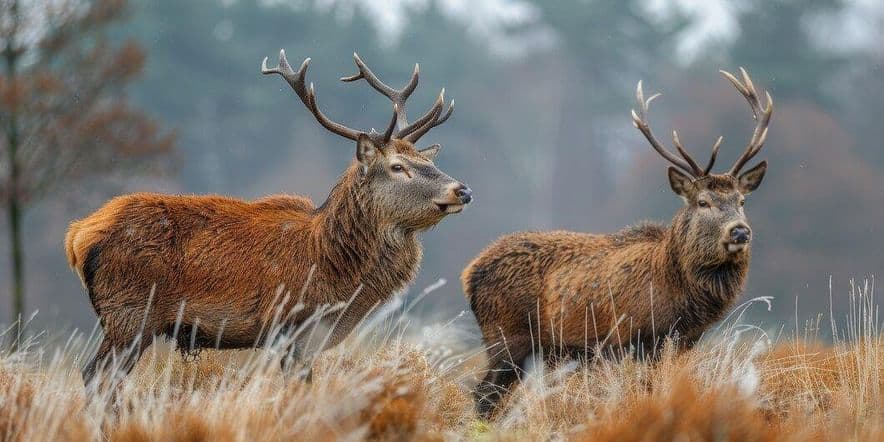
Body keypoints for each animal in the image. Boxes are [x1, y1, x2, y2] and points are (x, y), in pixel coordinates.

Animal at [64, 50, 470, 386]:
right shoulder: (291, 325)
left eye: (426, 161)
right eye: (398, 166)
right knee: (96, 376)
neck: (336, 273)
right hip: (130, 313)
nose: (462, 190)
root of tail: (78, 236)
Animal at [466, 67, 772, 416]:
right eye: (703, 202)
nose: (739, 232)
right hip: (506, 336)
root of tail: (470, 273)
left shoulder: (685, 340)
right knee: (483, 394)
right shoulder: (635, 337)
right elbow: (645, 389)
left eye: (741, 201)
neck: (677, 289)